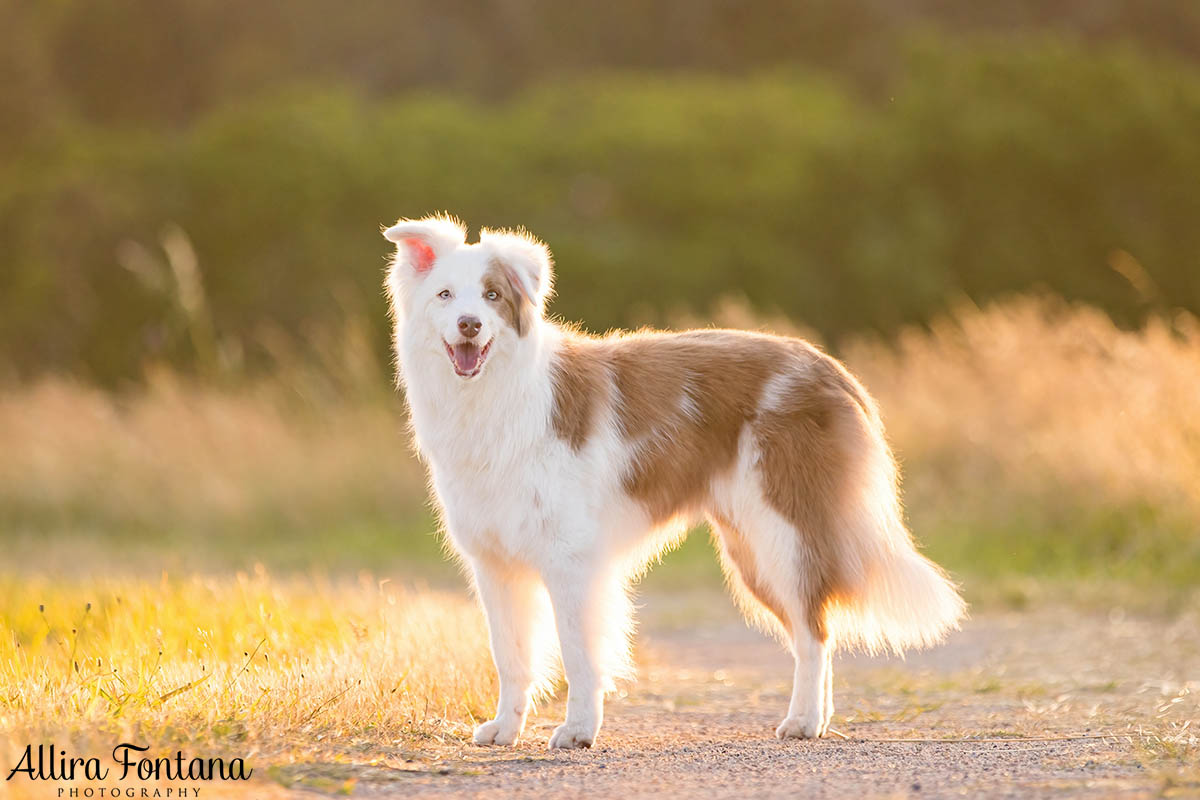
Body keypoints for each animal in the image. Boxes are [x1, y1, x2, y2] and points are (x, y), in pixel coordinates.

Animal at [384, 214, 964, 753]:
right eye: (444, 295)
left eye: (492, 296)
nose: (469, 325)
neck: (495, 397)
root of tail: (829, 367)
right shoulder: (494, 563)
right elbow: (510, 655)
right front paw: (505, 728)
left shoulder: (572, 559)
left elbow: (578, 652)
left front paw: (578, 731)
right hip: (752, 548)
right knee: (814, 629)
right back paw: (816, 720)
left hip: (783, 532)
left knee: (814, 630)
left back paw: (802, 721)